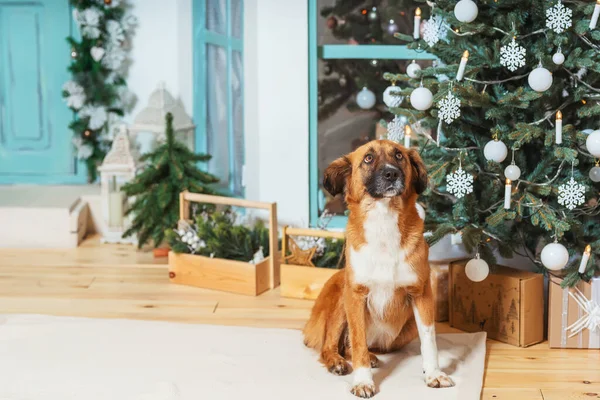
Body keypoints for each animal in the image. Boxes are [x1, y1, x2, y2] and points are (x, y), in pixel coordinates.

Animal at [302, 140, 452, 396]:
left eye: (399, 155)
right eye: (368, 158)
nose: (391, 173)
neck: (384, 219)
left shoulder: (421, 293)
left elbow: (429, 339)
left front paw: (433, 374)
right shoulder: (355, 295)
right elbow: (358, 341)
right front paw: (363, 381)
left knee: (350, 347)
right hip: (341, 295)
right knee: (332, 345)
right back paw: (337, 362)